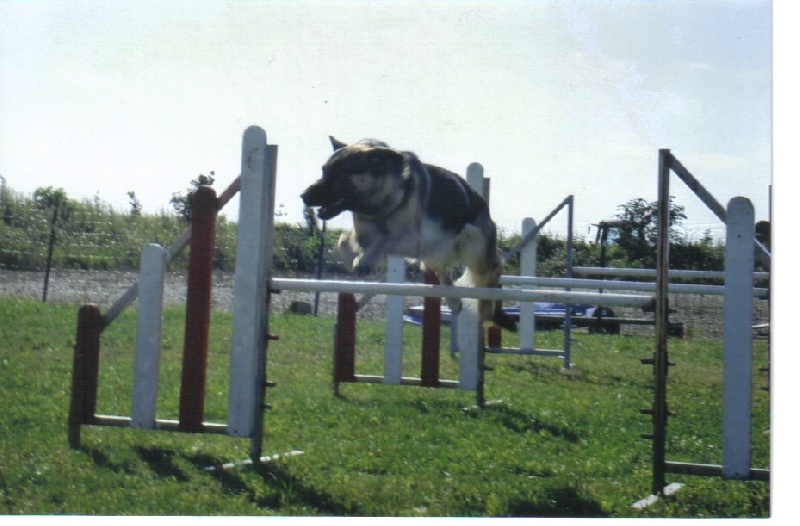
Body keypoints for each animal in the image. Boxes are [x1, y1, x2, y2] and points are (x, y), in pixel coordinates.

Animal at [302, 138, 520, 332]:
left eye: (339, 174)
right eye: (324, 171)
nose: (303, 196)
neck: (383, 203)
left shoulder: (415, 239)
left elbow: (385, 240)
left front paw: (364, 261)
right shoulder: (363, 234)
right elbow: (344, 241)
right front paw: (355, 259)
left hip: (474, 252)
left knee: (492, 271)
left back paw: (485, 308)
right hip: (435, 256)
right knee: (444, 273)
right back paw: (453, 300)